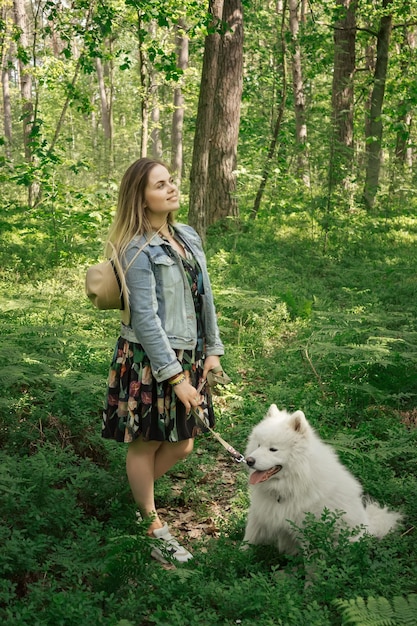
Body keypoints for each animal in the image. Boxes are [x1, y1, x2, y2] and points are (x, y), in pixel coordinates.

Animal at [242, 402, 402, 552]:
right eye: (258, 445)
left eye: (273, 449)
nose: (249, 460)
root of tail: (368, 525)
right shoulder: (260, 513)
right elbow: (248, 539)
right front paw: (241, 555)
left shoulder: (307, 529)